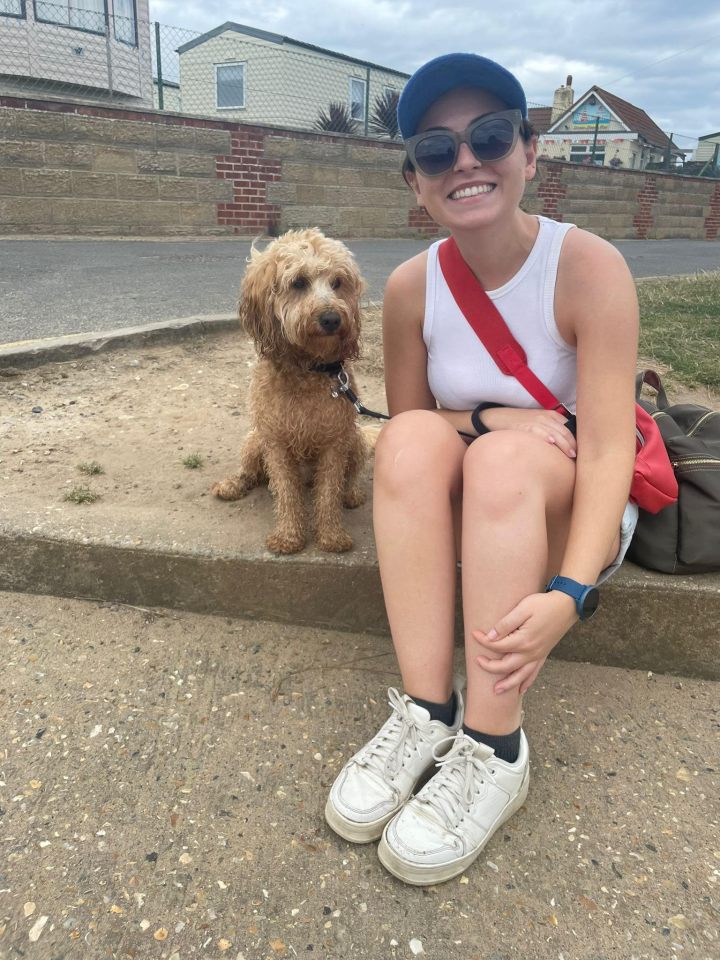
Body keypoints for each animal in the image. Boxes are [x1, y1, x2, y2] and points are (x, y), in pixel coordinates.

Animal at [211, 227, 368, 556]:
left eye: (338, 282)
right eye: (298, 282)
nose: (332, 319)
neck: (307, 369)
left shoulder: (335, 443)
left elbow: (328, 492)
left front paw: (331, 535)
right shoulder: (275, 442)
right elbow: (285, 491)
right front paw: (288, 536)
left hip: (357, 441)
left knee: (345, 480)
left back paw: (351, 494)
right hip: (253, 440)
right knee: (250, 472)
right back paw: (233, 485)